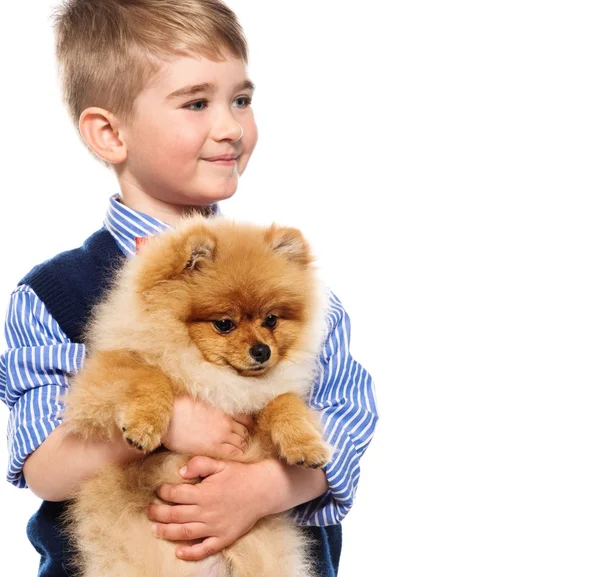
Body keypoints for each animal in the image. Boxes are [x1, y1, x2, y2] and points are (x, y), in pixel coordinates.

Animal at [61, 215, 332, 576]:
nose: (262, 351)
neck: (210, 375)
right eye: (224, 324)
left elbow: (282, 401)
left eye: (271, 320)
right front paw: (144, 426)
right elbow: (151, 376)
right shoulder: (99, 381)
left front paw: (305, 444)